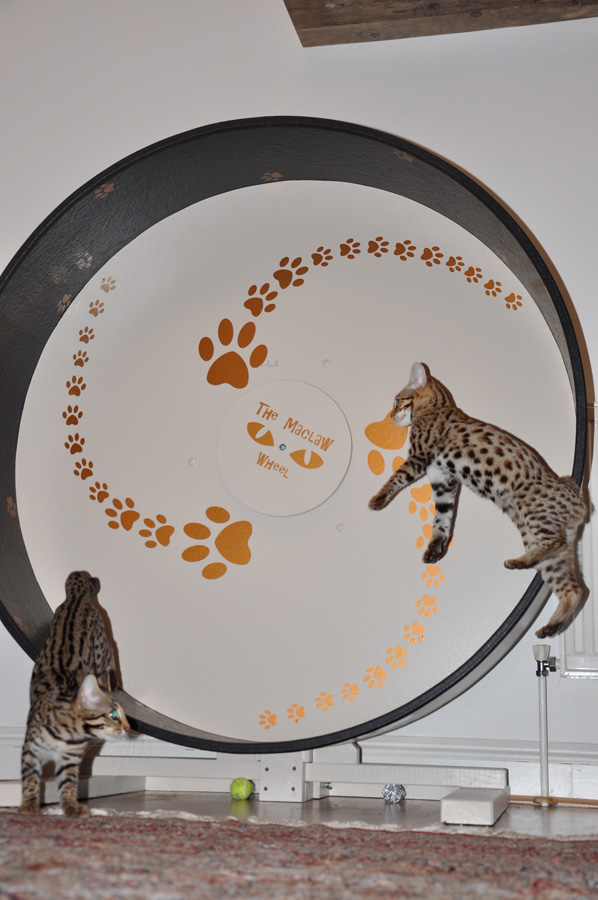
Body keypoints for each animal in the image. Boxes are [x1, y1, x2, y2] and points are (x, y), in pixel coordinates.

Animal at [19, 570, 129, 817]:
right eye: (113, 715)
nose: (129, 728)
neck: (67, 736)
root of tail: (77, 591)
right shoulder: (30, 752)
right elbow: (30, 780)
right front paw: (29, 805)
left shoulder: (69, 759)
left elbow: (68, 784)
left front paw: (70, 806)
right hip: (101, 646)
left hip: (101, 651)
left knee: (112, 666)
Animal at [369, 362, 587, 639]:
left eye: (398, 400)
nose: (390, 415)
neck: (436, 405)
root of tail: (580, 505)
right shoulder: (443, 479)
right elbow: (442, 519)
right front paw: (435, 548)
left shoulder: (420, 458)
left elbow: (396, 478)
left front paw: (376, 499)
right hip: (541, 542)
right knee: (574, 589)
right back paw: (550, 623)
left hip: (531, 511)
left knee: (557, 544)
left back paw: (517, 562)